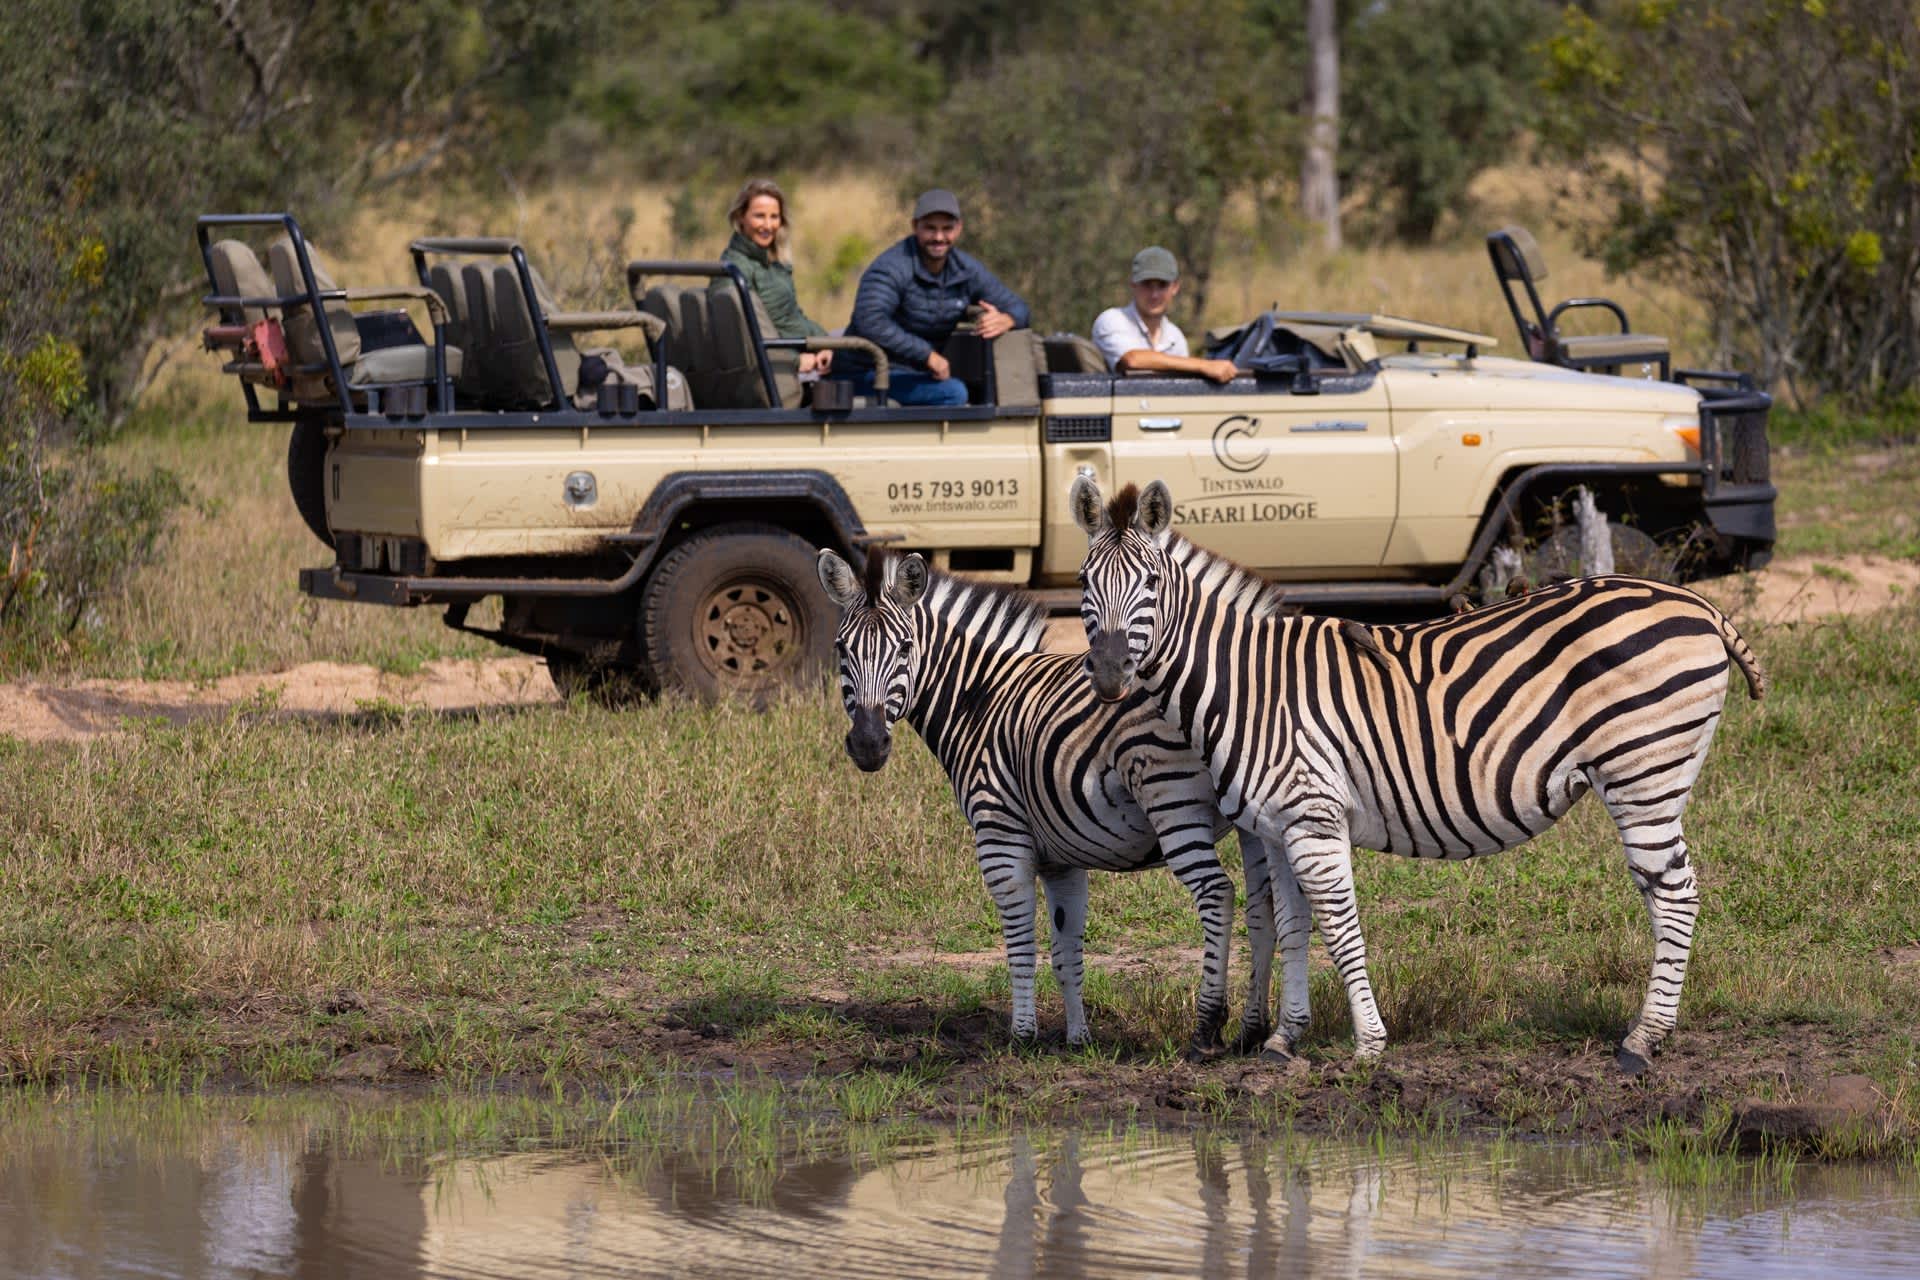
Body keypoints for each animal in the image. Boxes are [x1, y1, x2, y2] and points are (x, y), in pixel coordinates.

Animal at [810, 545, 1305, 1059]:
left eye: (905, 648)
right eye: (842, 650)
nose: (868, 745)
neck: (979, 699)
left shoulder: (1000, 837)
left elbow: (1021, 945)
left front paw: (1021, 1036)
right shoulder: (1061, 859)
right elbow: (1066, 952)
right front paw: (1078, 1039)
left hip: (1173, 802)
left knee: (1217, 893)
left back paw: (1207, 1027)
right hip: (1249, 814)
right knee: (1264, 907)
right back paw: (1255, 1030)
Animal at [1075, 475, 1758, 1074]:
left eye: (1152, 582)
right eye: (1084, 583)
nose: (1108, 676)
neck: (1249, 686)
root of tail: (1695, 602)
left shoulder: (1313, 818)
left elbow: (1341, 926)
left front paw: (1368, 1046)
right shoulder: (1276, 827)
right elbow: (1294, 926)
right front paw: (1283, 1041)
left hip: (1643, 772)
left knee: (1674, 893)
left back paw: (1643, 1041)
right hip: (1655, 775)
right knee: (1670, 891)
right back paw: (1653, 1032)